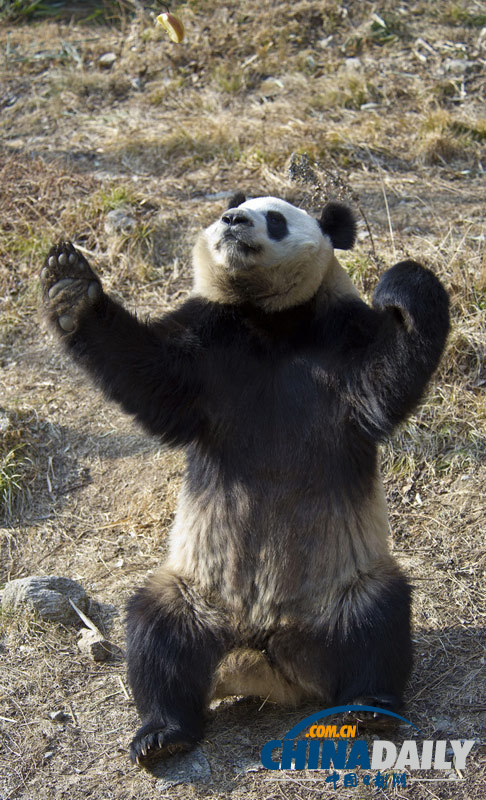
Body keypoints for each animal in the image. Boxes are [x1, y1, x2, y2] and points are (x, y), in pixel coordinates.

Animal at [39, 194, 450, 768]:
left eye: (275, 218)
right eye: (229, 209)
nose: (234, 222)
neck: (269, 322)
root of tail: (265, 658)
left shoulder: (339, 339)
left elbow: (383, 383)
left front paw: (403, 286)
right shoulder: (208, 345)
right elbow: (150, 376)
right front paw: (69, 286)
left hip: (342, 587)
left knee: (379, 620)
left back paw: (369, 707)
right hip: (197, 592)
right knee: (158, 632)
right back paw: (163, 733)